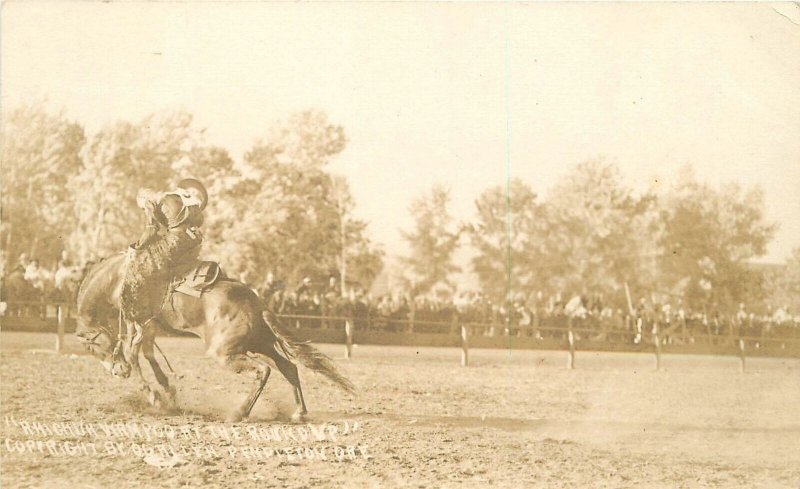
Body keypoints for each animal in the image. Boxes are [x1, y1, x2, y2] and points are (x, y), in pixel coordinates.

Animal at [75, 254, 356, 422]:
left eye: (94, 346)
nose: (117, 371)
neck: (116, 277)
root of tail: (257, 304)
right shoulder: (148, 325)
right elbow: (148, 354)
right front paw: (167, 391)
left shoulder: (138, 321)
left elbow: (135, 355)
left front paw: (154, 395)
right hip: (260, 345)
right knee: (289, 367)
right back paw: (299, 412)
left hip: (226, 353)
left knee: (263, 371)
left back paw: (239, 413)